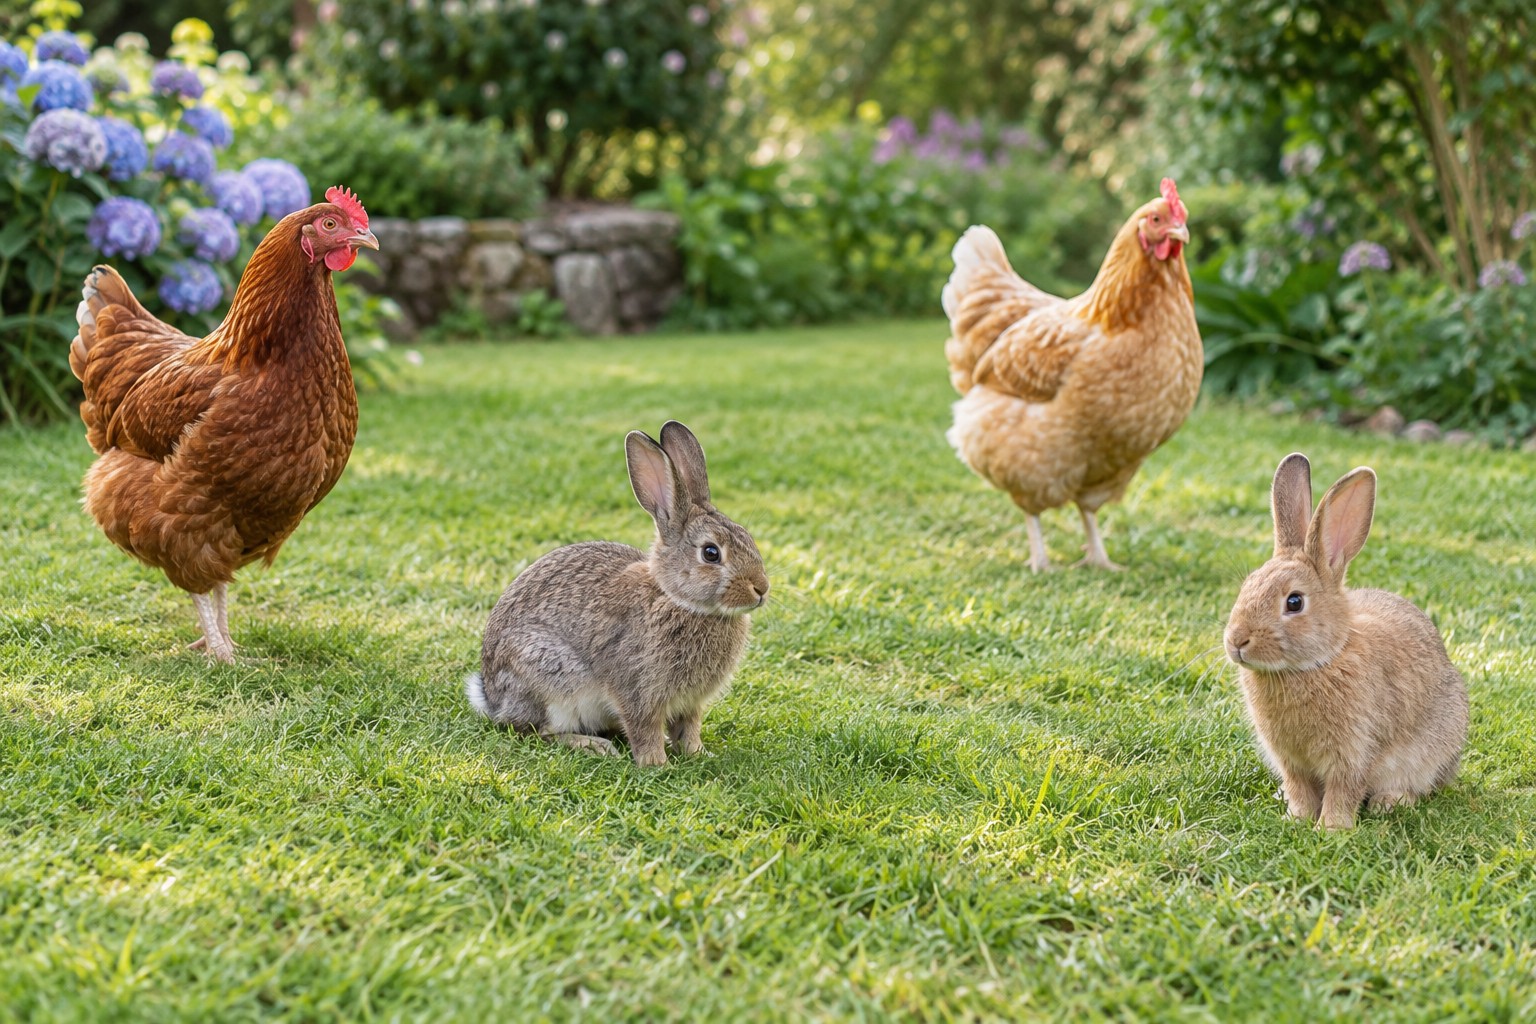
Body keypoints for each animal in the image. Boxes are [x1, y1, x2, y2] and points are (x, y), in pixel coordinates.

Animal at [465, 421, 769, 766]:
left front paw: (698, 754)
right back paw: (592, 745)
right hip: (551, 678)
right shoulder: (637, 690)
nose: (761, 588)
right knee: (538, 732)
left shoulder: (690, 702)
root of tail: (492, 699)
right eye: (711, 553)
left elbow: (688, 728)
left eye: (747, 536)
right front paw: (657, 764)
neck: (676, 599)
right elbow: (643, 728)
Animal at [1223, 453, 1467, 830]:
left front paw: (1331, 828)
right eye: (1247, 585)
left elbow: (1344, 788)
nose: (1236, 641)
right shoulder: (1290, 760)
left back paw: (1390, 802)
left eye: (1294, 602)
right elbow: (1299, 787)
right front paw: (1297, 819)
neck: (1316, 663)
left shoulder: (1354, 750)